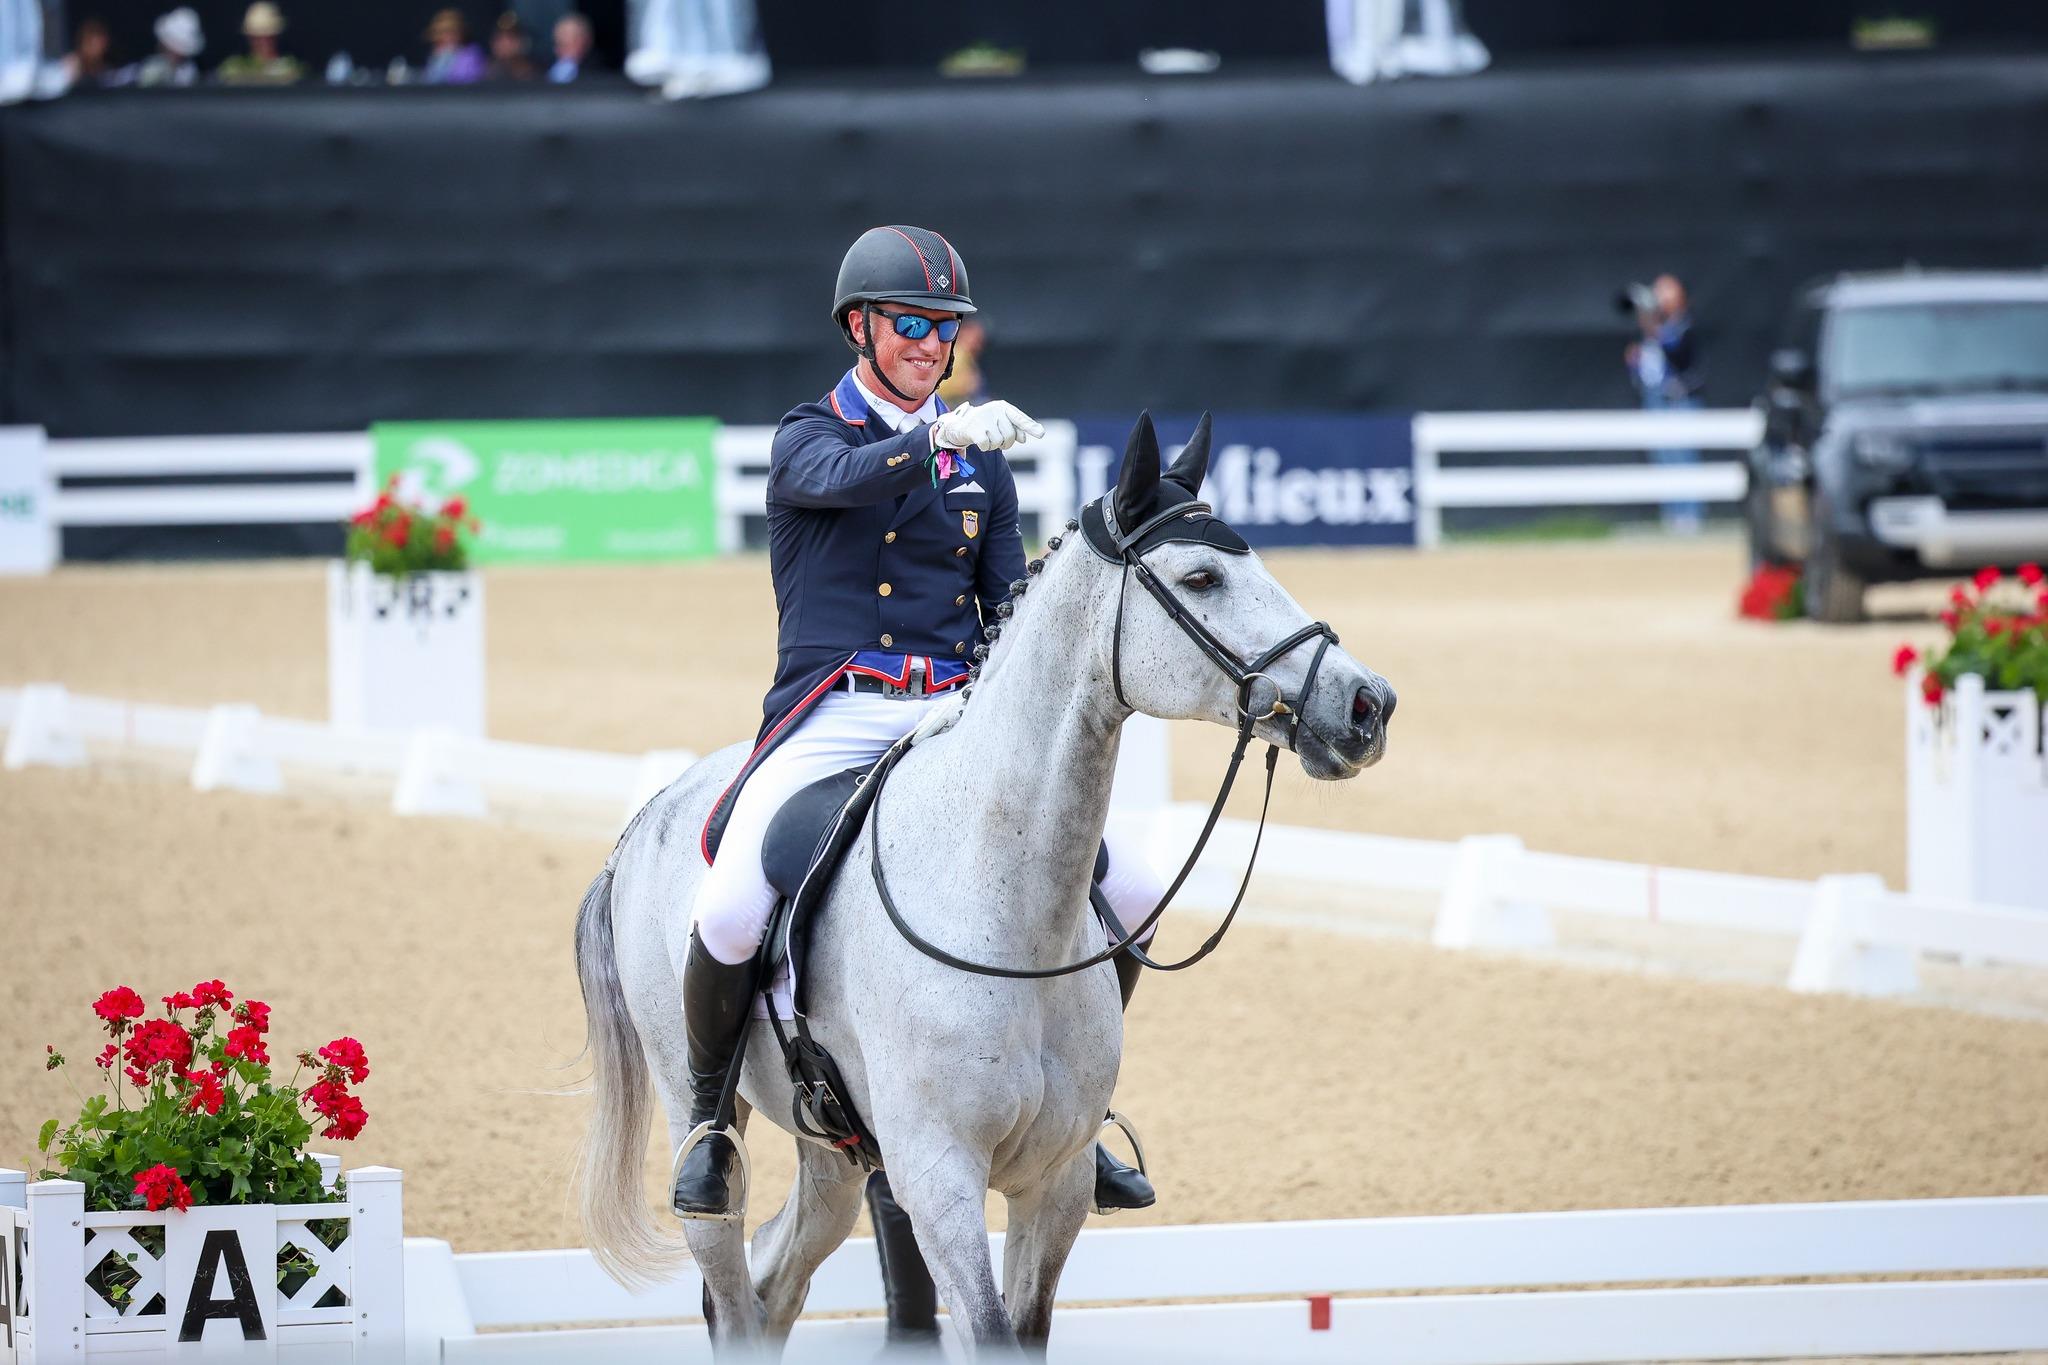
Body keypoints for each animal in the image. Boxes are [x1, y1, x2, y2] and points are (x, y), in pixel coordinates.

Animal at [573, 417, 1392, 1358]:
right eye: (1201, 577)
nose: (1367, 704)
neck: (1002, 899)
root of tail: (645, 819)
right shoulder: (938, 1177)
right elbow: (985, 1322)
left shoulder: (1056, 1179)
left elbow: (1026, 1323)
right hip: (699, 1107)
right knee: (733, 1286)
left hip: (835, 1153)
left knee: (777, 1281)